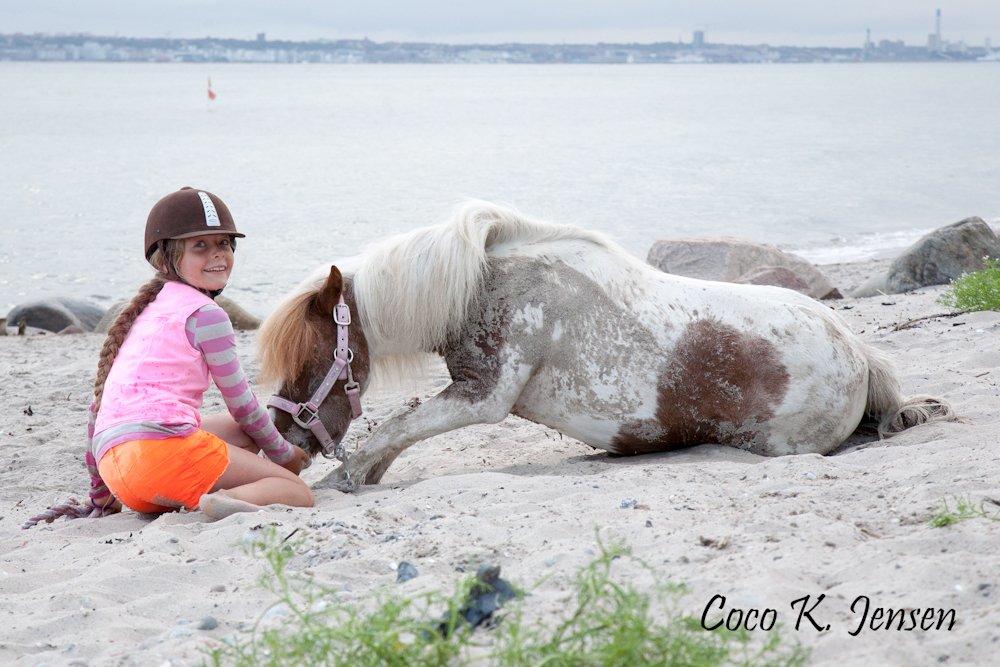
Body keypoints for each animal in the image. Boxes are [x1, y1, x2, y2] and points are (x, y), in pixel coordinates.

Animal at [256, 201, 952, 488]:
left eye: (309, 359)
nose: (283, 438)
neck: (481, 283)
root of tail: (858, 352)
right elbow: (396, 436)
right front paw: (361, 477)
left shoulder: (483, 397)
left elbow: (397, 427)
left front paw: (346, 478)